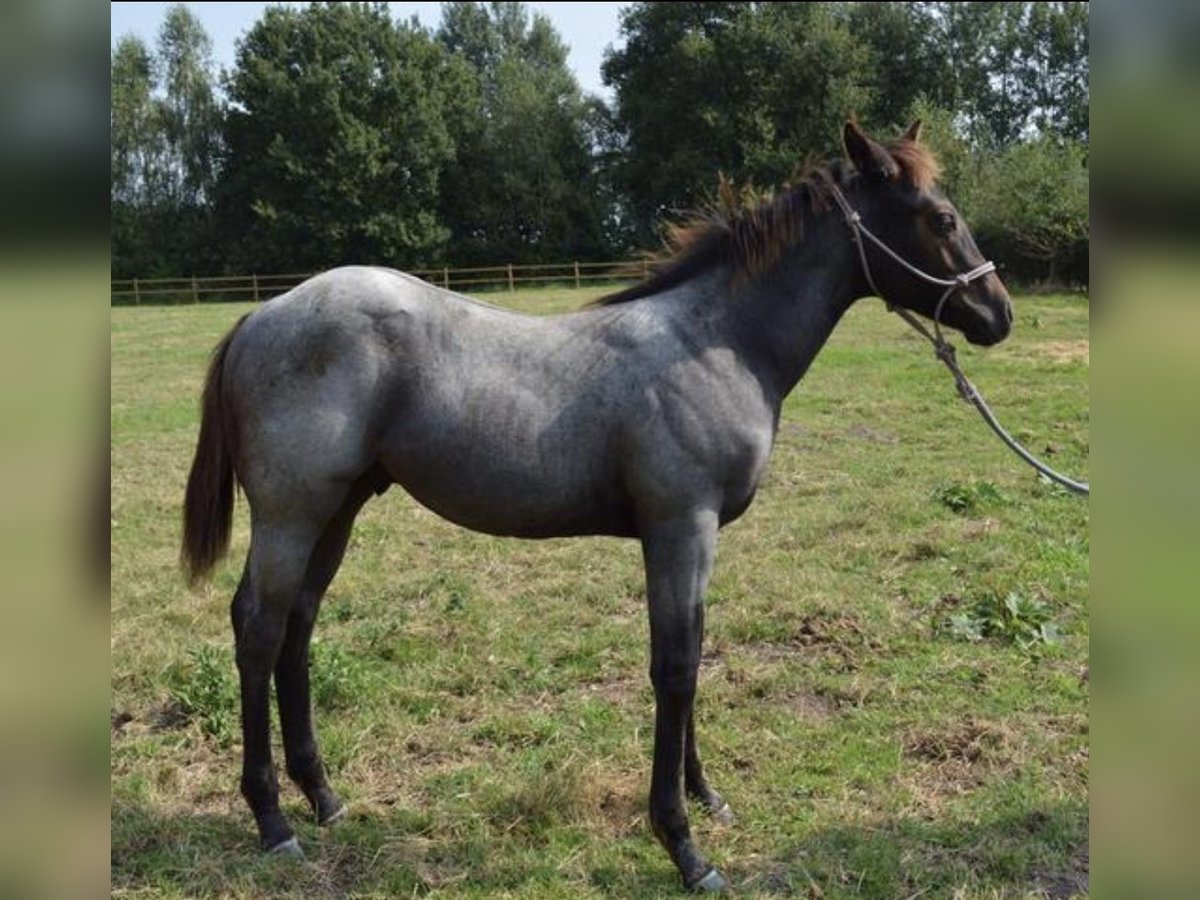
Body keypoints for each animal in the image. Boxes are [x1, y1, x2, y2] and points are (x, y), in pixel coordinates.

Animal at [180, 121, 1012, 897]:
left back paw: (324, 797)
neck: (720, 342)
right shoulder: (680, 527)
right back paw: (273, 820)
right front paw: (683, 847)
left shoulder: (688, 536)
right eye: (940, 217)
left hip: (339, 509)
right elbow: (675, 666)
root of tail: (259, 317)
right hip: (292, 512)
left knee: (297, 628)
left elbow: (692, 653)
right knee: (259, 628)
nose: (997, 312)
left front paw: (705, 795)